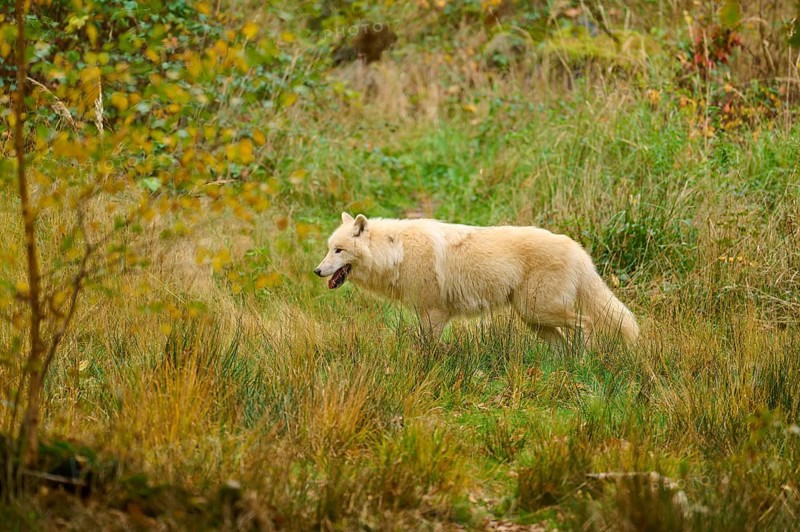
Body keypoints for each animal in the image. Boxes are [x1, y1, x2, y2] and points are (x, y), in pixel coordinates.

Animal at [314, 213, 639, 347]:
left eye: (338, 250)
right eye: (329, 249)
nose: (317, 271)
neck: (397, 252)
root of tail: (578, 249)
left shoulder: (435, 313)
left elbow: (427, 349)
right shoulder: (427, 313)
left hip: (539, 310)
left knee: (587, 323)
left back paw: (585, 356)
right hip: (534, 318)